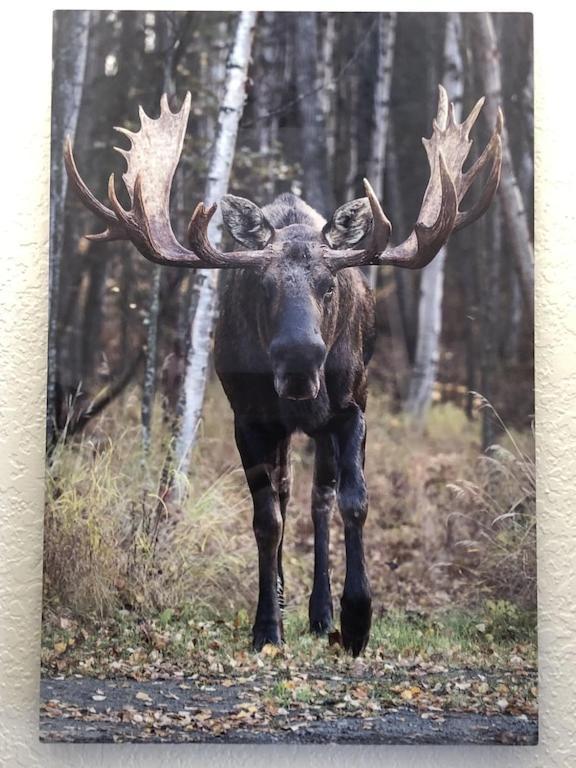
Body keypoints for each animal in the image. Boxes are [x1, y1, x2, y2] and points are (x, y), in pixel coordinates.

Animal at [64, 85, 502, 656]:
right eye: (264, 286)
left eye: (330, 286)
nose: (300, 359)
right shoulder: (249, 419)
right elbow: (266, 519)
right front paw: (266, 625)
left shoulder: (353, 408)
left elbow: (354, 500)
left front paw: (356, 618)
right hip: (280, 430)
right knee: (287, 493)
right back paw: (285, 598)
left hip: (323, 426)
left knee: (318, 499)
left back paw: (320, 611)